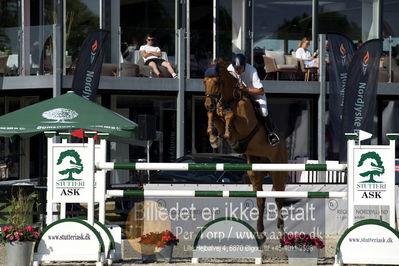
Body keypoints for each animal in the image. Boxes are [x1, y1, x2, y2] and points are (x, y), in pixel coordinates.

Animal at [205, 58, 290, 239]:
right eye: (204, 81)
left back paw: (280, 230)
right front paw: (214, 138)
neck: (230, 100)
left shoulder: (245, 125)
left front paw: (230, 138)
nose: (208, 104)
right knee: (260, 199)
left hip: (278, 170)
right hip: (255, 171)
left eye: (216, 82)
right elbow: (214, 117)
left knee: (278, 198)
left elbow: (230, 116)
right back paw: (260, 232)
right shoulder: (218, 116)